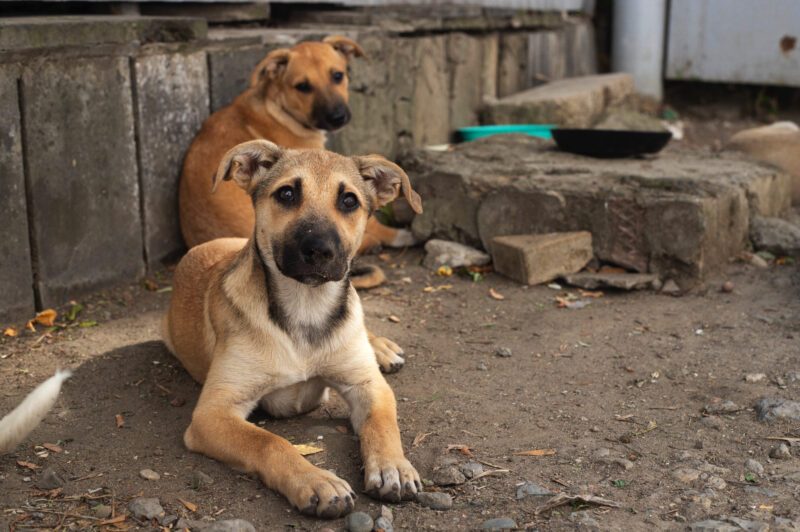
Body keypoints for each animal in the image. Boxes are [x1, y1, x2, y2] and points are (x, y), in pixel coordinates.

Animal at [163, 139, 424, 516]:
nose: (320, 250)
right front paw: (315, 481)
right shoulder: (213, 413)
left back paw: (381, 347)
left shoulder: (368, 385)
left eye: (349, 200)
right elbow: (269, 442)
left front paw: (394, 467)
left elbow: (382, 425)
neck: (306, 309)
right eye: (286, 194)